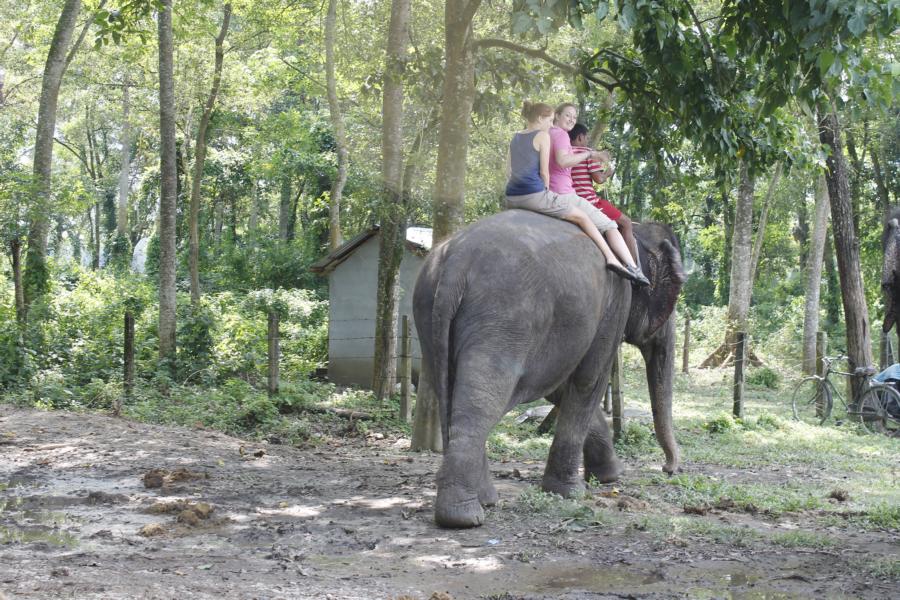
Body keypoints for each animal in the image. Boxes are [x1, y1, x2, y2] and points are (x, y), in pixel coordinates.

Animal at [413, 209, 685, 528]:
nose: (668, 468)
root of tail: (454, 263)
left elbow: (561, 389)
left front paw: (609, 476)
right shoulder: (615, 302)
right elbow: (589, 380)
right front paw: (573, 492)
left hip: (428, 315)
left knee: (448, 391)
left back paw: (486, 499)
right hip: (503, 319)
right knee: (482, 402)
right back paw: (463, 516)